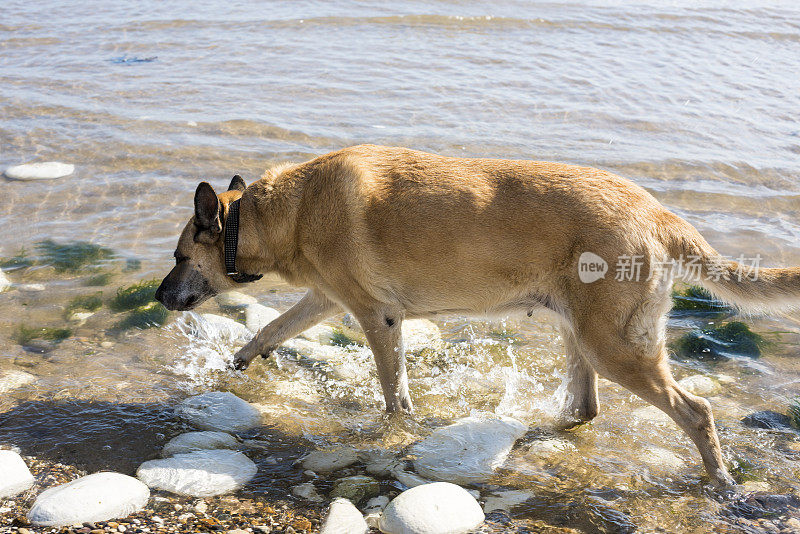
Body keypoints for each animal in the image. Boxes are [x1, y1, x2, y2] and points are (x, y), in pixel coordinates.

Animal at [156, 144, 800, 488]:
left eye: (181, 256)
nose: (160, 297)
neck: (274, 215)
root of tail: (659, 212)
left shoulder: (376, 317)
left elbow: (393, 392)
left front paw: (398, 432)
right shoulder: (327, 300)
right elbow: (271, 327)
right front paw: (239, 361)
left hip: (615, 346)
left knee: (697, 412)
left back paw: (720, 482)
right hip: (582, 336)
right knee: (586, 409)